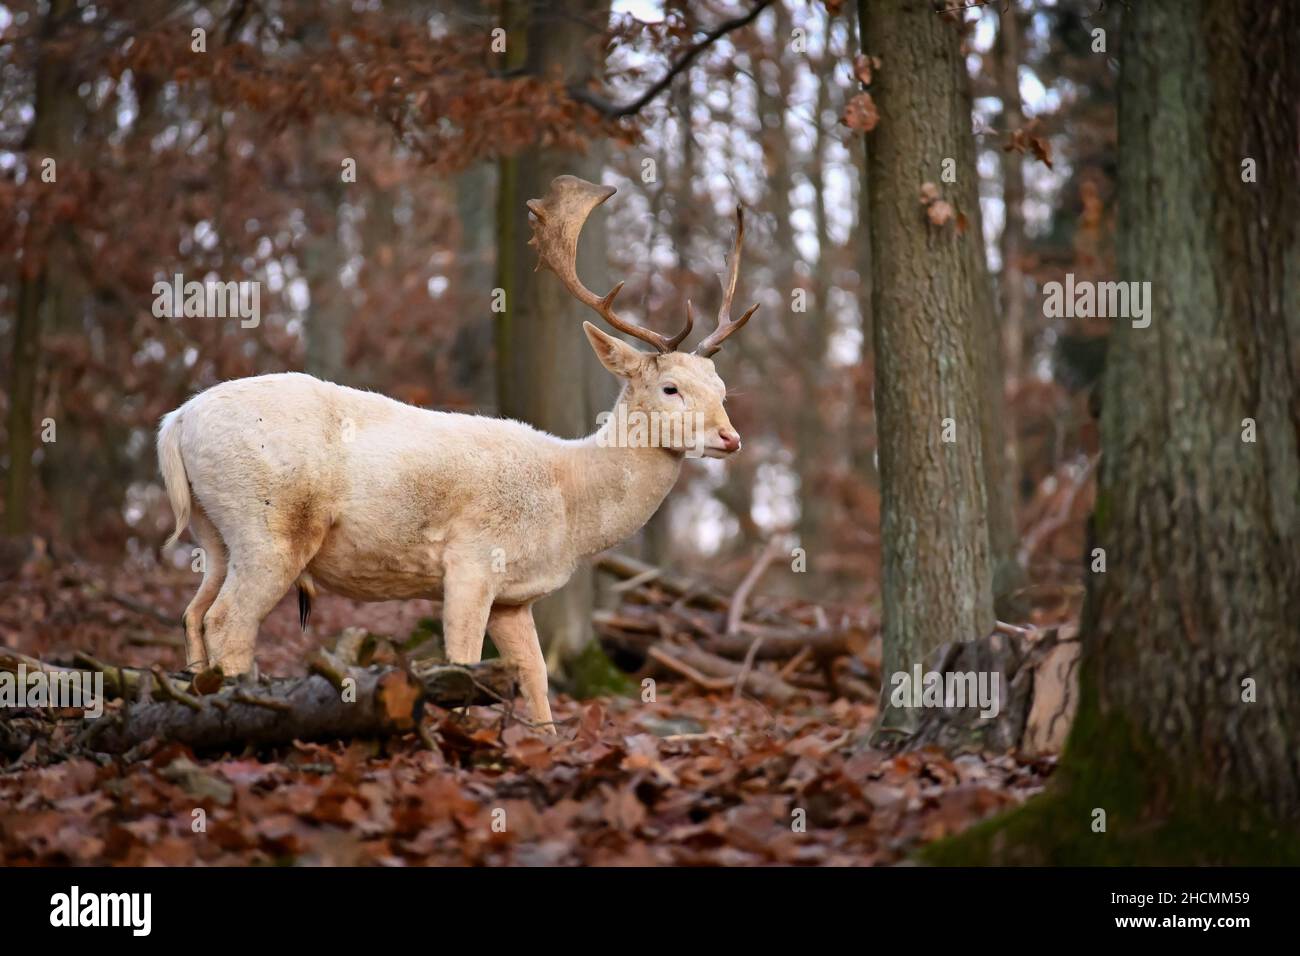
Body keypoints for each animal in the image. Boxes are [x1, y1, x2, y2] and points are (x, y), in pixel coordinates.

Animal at [156, 175, 758, 730]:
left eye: (722, 389)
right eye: (670, 388)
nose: (730, 438)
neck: (567, 501)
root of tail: (176, 422)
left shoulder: (516, 598)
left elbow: (536, 678)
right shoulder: (472, 559)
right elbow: (463, 664)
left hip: (214, 533)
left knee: (193, 613)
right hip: (271, 526)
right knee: (228, 621)